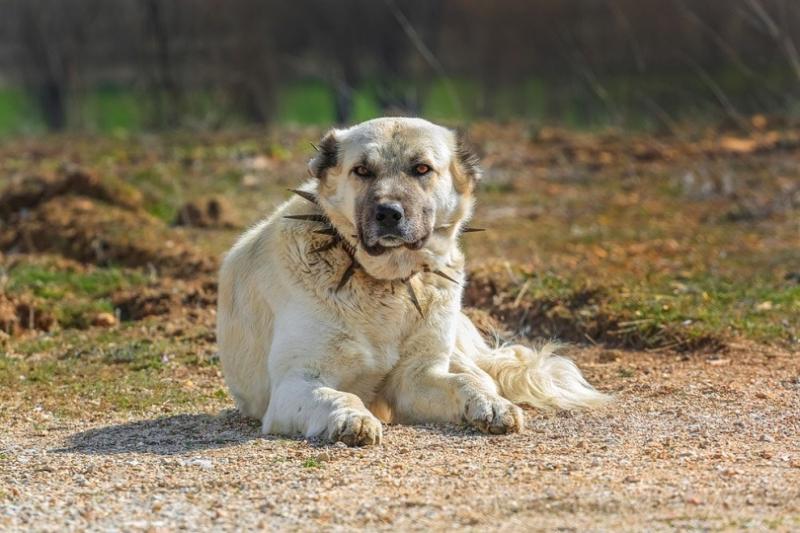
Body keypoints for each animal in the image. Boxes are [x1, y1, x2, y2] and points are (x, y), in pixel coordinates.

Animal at [216, 117, 608, 444]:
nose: (388, 213)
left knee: (478, 374)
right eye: (362, 170)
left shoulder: (417, 377)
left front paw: (491, 407)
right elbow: (336, 394)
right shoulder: (295, 383)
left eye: (421, 168)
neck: (383, 284)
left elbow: (462, 384)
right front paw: (351, 418)